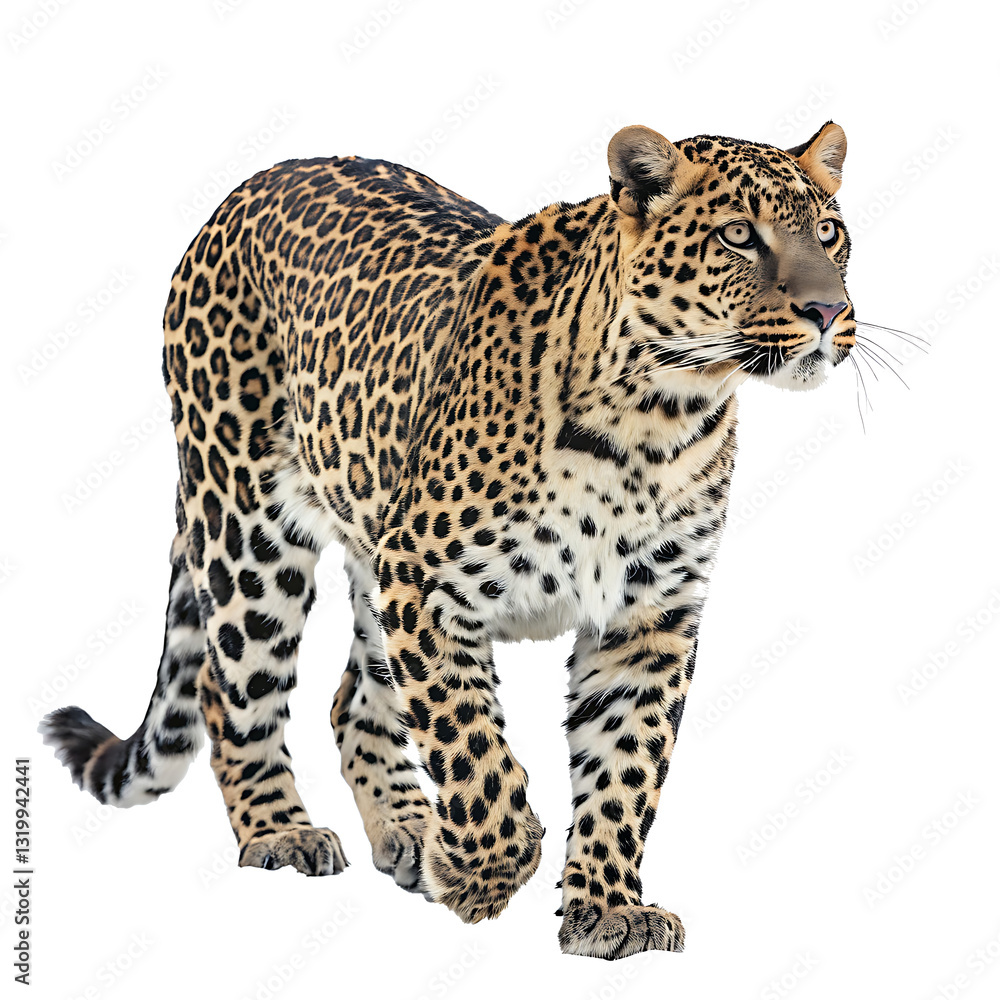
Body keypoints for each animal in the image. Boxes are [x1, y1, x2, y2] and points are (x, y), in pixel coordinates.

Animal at [40, 120, 855, 960]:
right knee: (228, 685)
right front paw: (478, 874)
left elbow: (625, 769)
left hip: (366, 546)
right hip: (246, 526)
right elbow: (471, 743)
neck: (659, 420)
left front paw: (605, 908)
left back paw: (406, 828)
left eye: (830, 233)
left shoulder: (649, 619)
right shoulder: (429, 583)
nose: (829, 310)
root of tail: (250, 186)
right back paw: (283, 832)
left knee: (352, 702)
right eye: (738, 236)